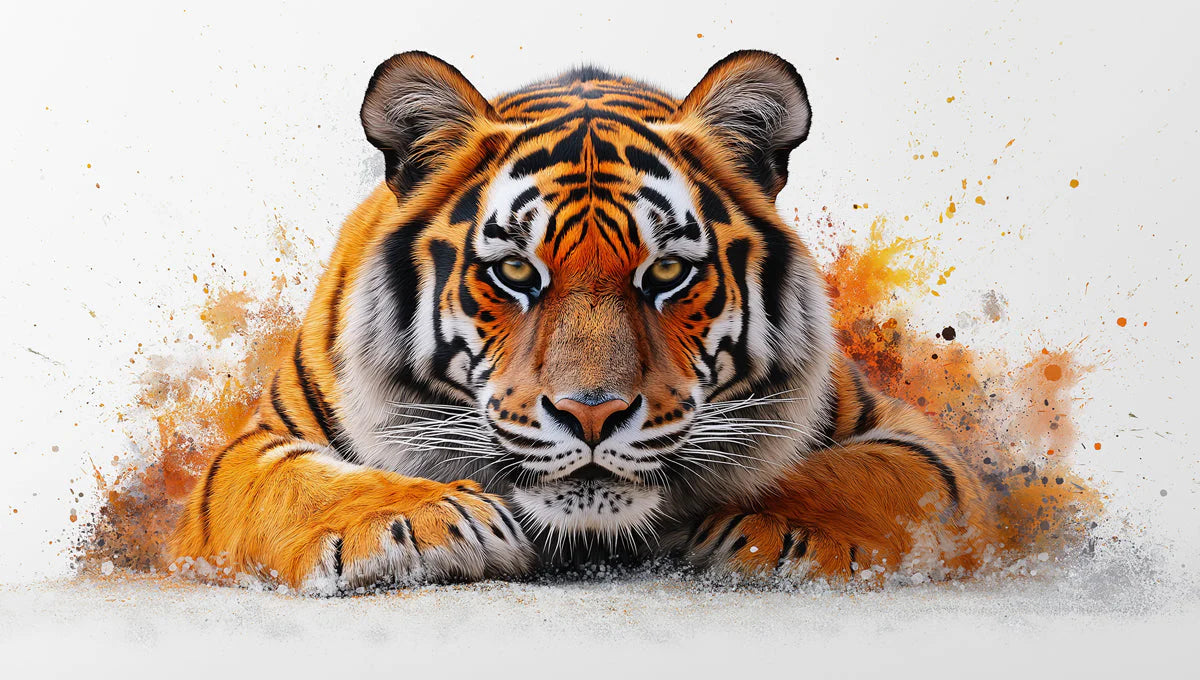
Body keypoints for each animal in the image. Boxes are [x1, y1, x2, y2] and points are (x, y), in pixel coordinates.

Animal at [172, 50, 999, 591]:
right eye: (514, 273)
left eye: (665, 274)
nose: (591, 415)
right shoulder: (247, 451)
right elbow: (298, 487)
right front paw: (433, 519)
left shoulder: (919, 444)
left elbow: (868, 478)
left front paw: (763, 524)